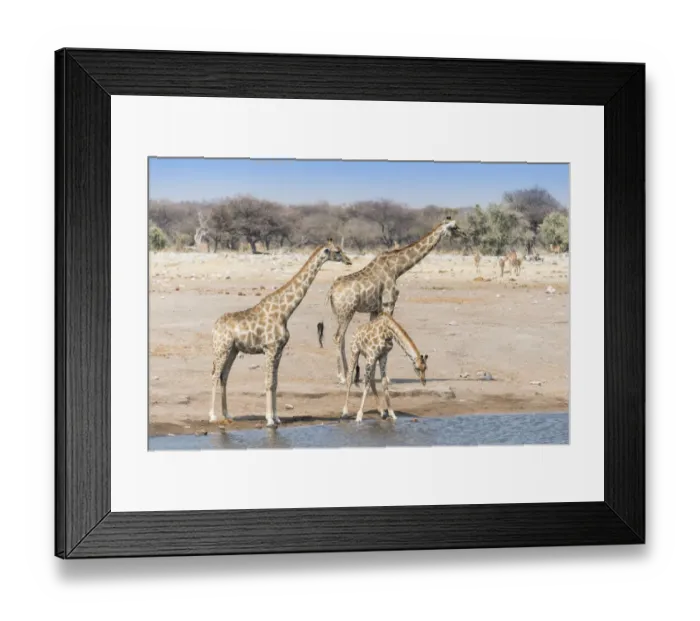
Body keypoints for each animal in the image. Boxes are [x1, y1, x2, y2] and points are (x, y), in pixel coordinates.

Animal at [209, 239, 352, 428]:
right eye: (337, 251)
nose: (349, 260)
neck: (285, 312)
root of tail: (214, 327)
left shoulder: (279, 350)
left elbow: (275, 383)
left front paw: (276, 417)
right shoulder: (270, 348)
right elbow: (268, 383)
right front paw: (269, 419)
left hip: (232, 350)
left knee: (224, 376)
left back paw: (227, 414)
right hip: (221, 348)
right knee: (214, 375)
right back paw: (212, 416)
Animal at [328, 216, 465, 384]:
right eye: (454, 227)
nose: (464, 234)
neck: (397, 268)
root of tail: (331, 291)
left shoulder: (376, 309)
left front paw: (372, 375)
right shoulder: (389, 303)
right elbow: (390, 338)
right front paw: (386, 378)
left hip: (340, 314)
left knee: (341, 338)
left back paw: (349, 374)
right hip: (347, 312)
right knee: (337, 337)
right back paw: (341, 376)